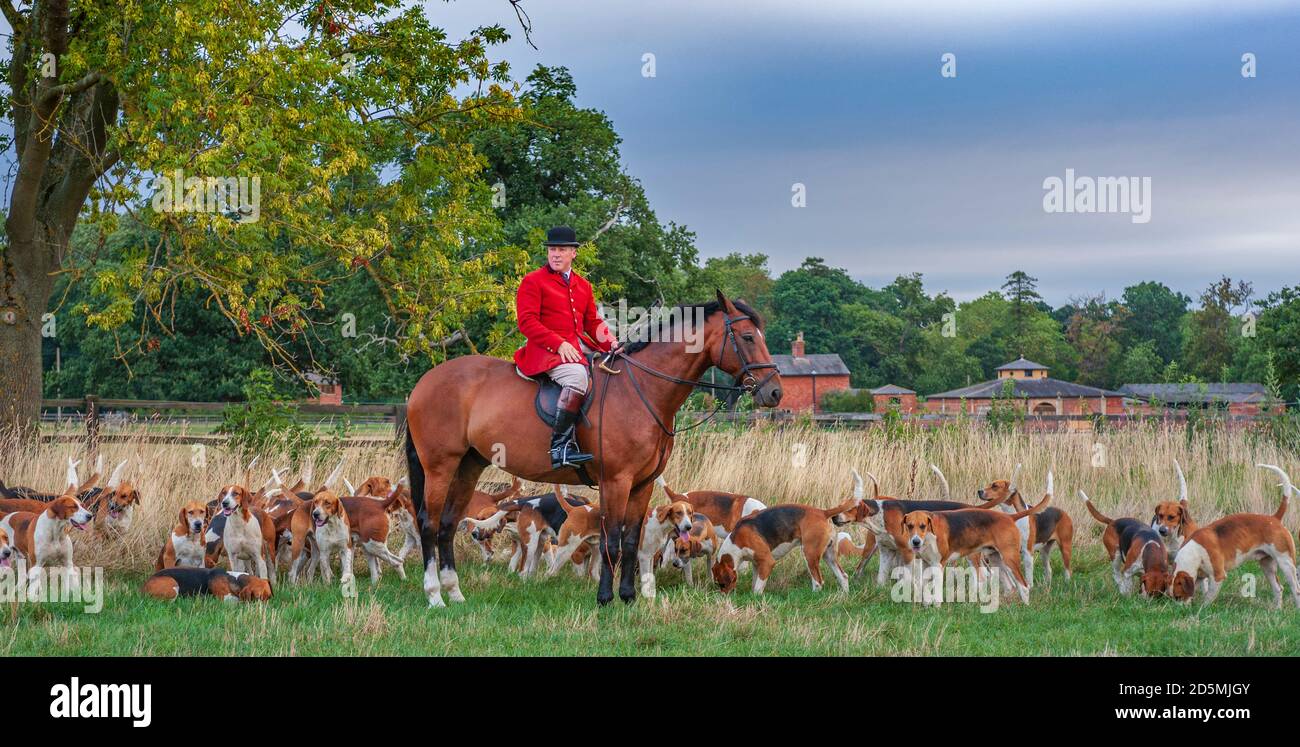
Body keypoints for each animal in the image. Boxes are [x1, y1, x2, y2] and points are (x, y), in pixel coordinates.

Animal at [403, 292, 780, 607]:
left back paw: (455, 592)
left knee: (448, 524)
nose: (774, 392)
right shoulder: (615, 481)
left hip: (469, 466)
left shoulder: (642, 485)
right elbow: (610, 539)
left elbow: (630, 540)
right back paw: (434, 595)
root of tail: (425, 381)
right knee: (430, 524)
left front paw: (628, 596)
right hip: (439, 466)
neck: (643, 390)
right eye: (748, 337)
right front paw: (604, 598)